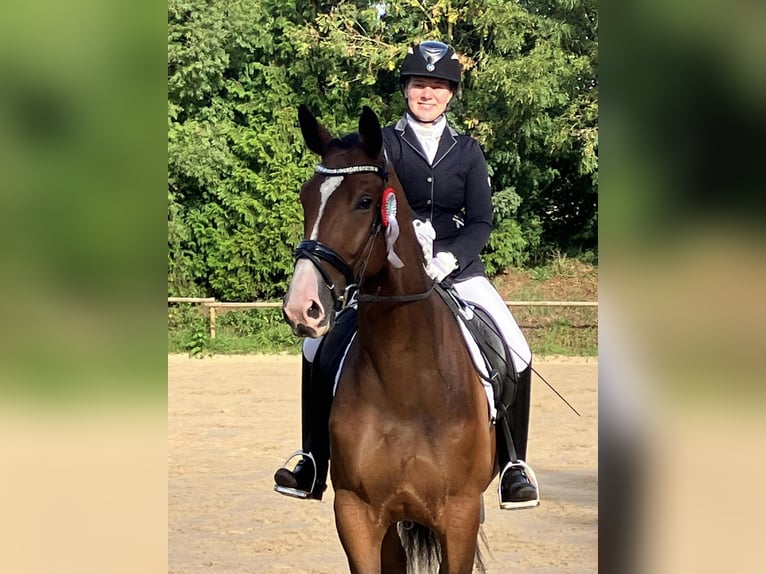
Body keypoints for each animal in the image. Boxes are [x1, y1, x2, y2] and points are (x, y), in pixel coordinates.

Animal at [284, 104, 496, 574]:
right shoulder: (356, 513)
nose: (302, 307)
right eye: (306, 197)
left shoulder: (460, 516)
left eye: (365, 201)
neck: (407, 379)